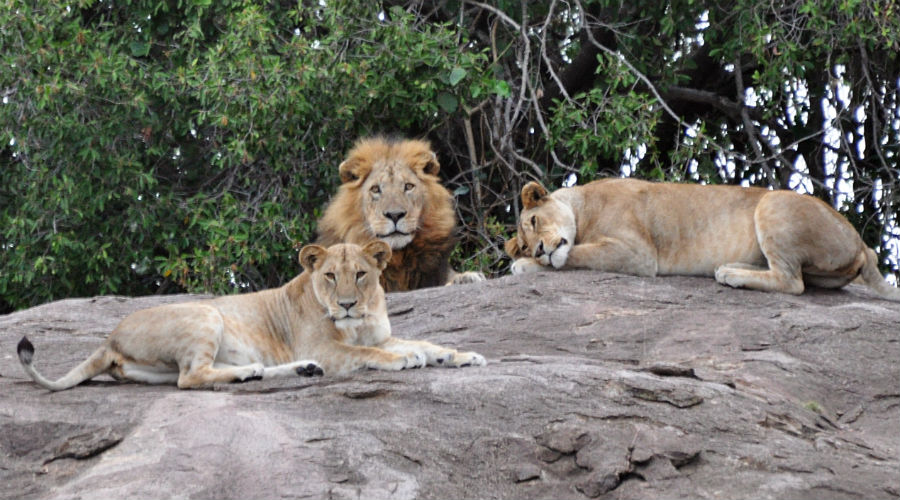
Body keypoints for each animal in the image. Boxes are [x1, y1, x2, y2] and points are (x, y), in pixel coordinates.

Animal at [15, 242, 486, 390]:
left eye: (360, 274)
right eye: (330, 276)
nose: (347, 304)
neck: (360, 321)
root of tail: (109, 338)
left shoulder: (378, 335)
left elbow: (425, 342)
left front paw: (461, 356)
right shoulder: (327, 346)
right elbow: (371, 355)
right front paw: (406, 360)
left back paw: (283, 371)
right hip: (206, 312)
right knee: (191, 378)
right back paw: (252, 373)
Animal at [506, 178, 900, 298]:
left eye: (535, 219)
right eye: (523, 242)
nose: (537, 249)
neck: (582, 206)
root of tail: (862, 246)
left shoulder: (637, 254)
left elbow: (575, 255)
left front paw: (527, 267)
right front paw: (526, 264)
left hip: (774, 203)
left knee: (793, 282)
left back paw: (732, 275)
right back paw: (732, 267)